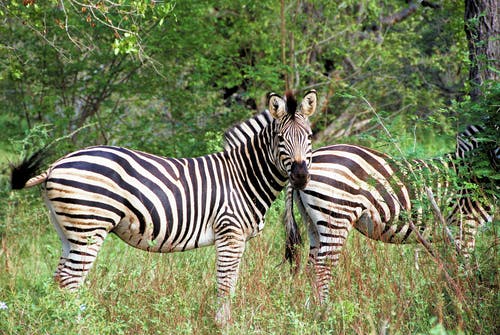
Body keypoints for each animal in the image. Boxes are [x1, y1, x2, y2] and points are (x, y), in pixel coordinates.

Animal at [9, 90, 318, 326]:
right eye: (281, 139)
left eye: (310, 137)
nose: (301, 176)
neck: (243, 176)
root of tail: (55, 165)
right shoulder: (230, 233)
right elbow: (225, 284)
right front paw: (223, 325)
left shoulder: (236, 238)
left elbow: (230, 283)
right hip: (89, 227)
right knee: (71, 281)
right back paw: (76, 326)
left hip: (68, 230)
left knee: (60, 280)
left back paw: (59, 322)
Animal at [284, 124, 498, 304]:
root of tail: (305, 162)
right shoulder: (465, 224)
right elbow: (465, 268)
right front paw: (467, 302)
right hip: (336, 216)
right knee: (323, 267)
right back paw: (325, 314)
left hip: (312, 221)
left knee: (311, 265)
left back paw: (310, 313)